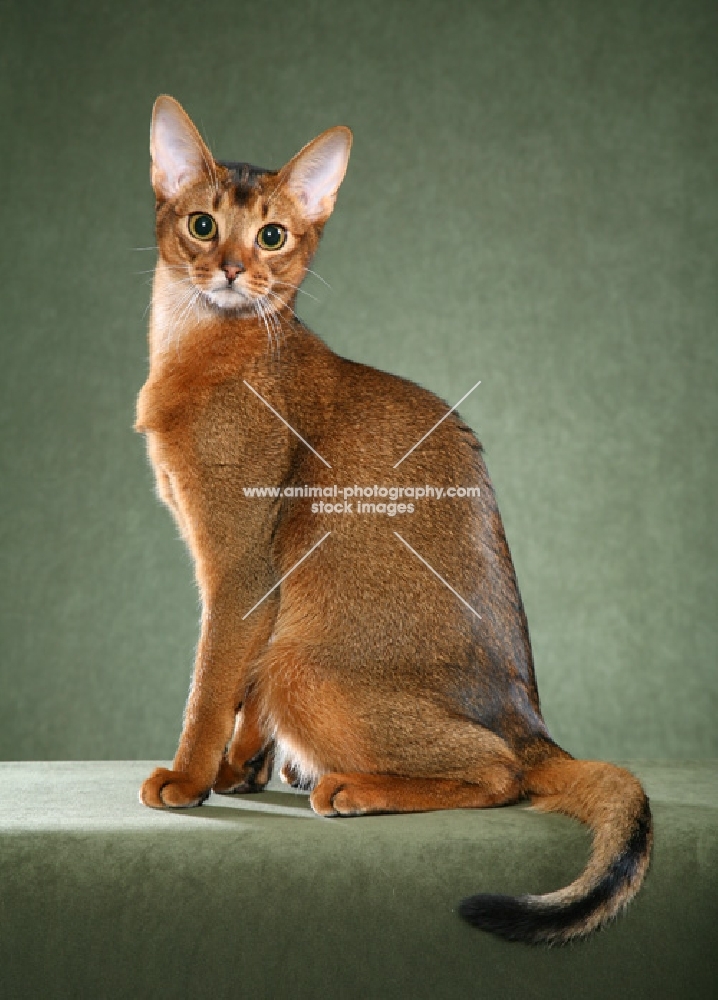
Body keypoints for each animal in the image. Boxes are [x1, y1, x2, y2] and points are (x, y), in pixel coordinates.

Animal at [138, 95, 656, 944]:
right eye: (203, 225)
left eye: (272, 235)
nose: (232, 269)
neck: (199, 347)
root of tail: (530, 720)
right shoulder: (248, 581)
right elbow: (240, 688)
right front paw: (238, 768)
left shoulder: (239, 564)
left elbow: (212, 680)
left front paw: (188, 777)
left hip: (305, 667)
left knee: (502, 772)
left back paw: (351, 788)